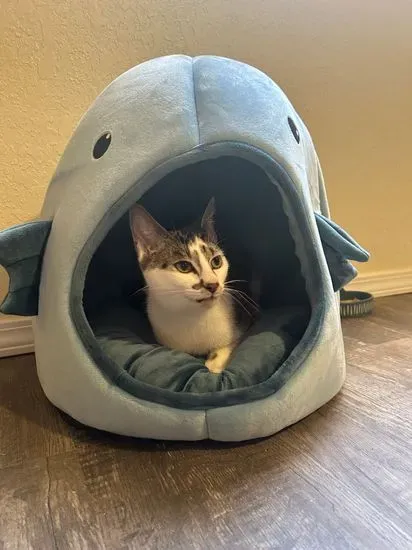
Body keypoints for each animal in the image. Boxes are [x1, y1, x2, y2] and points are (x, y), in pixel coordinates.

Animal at [129, 198, 246, 374]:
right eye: (184, 266)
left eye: (216, 262)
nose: (213, 285)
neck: (192, 314)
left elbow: (226, 347)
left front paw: (213, 366)